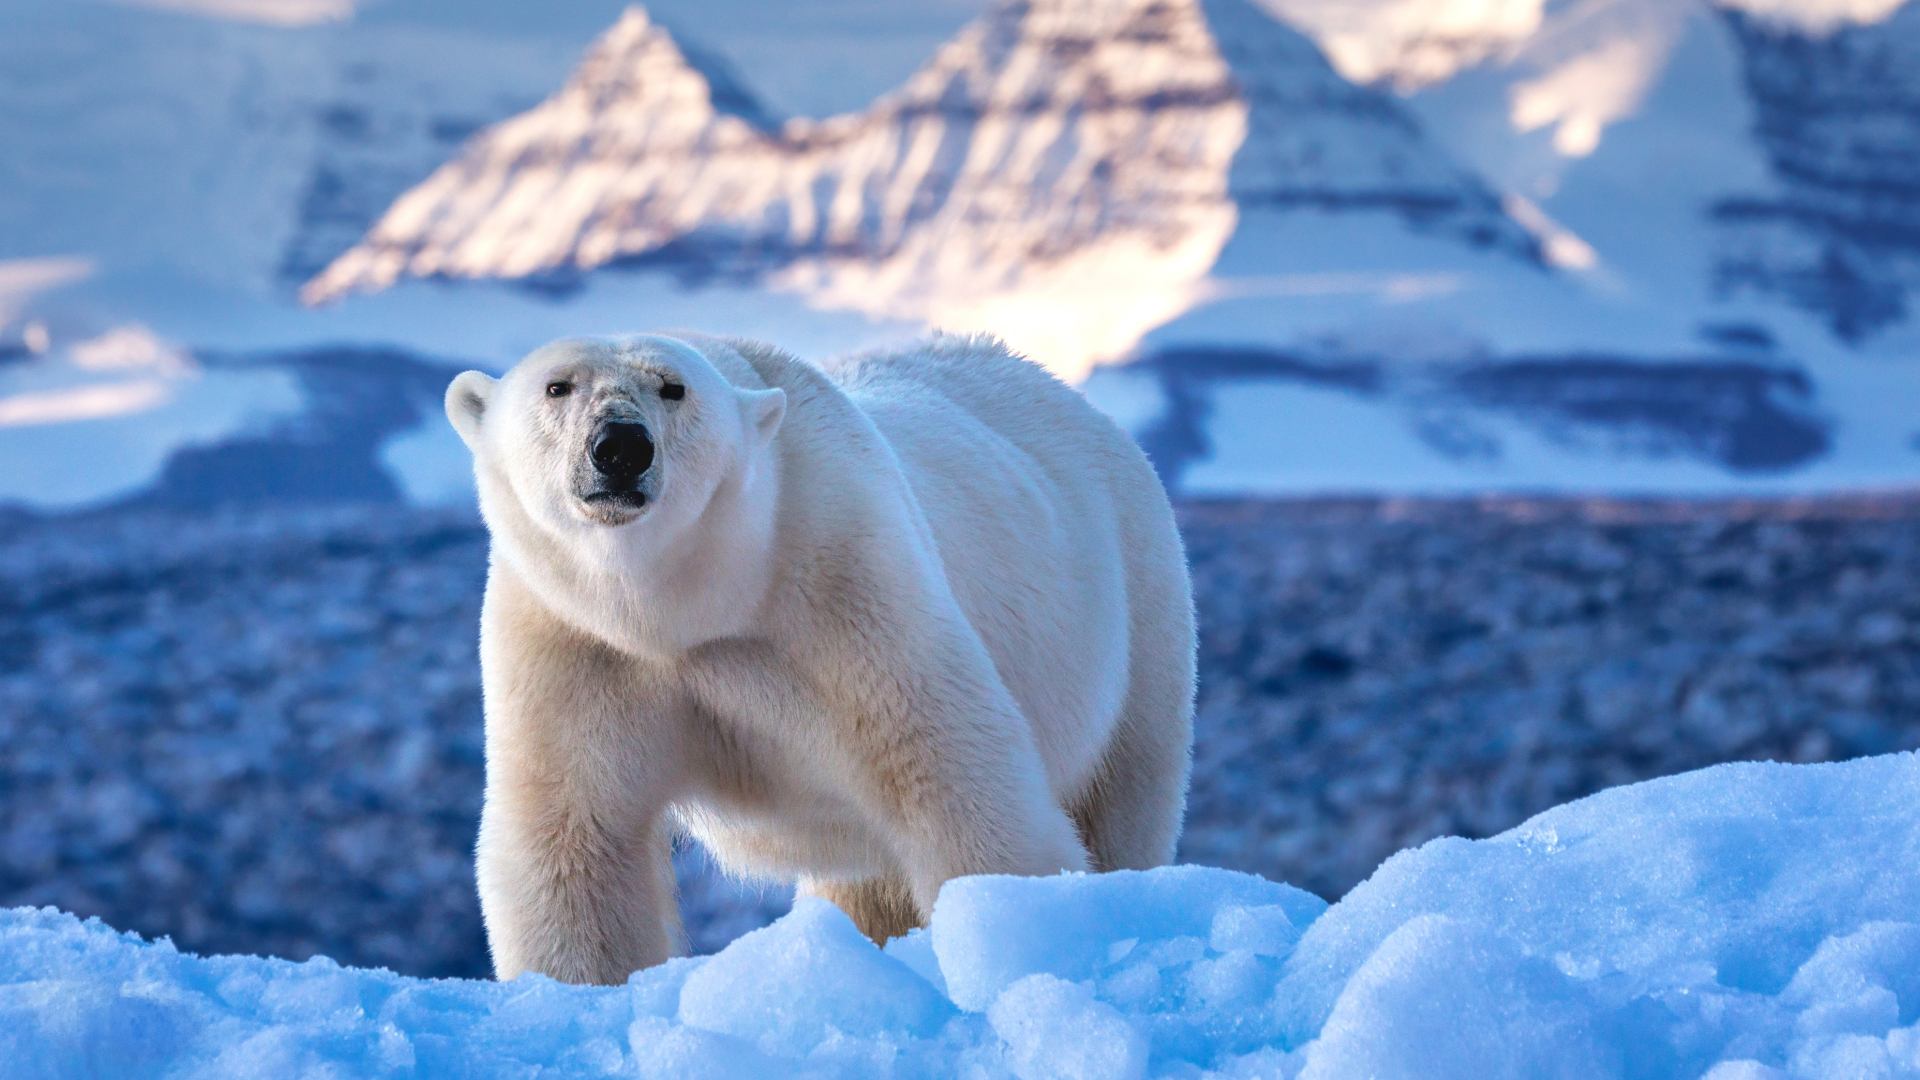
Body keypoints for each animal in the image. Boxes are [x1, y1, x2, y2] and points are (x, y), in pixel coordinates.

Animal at [444, 331, 1194, 985]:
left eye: (673, 386)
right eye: (557, 385)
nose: (621, 446)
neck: (685, 610)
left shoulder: (844, 589)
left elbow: (953, 775)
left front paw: (1013, 926)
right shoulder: (573, 641)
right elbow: (574, 838)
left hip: (1135, 607)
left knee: (1123, 793)